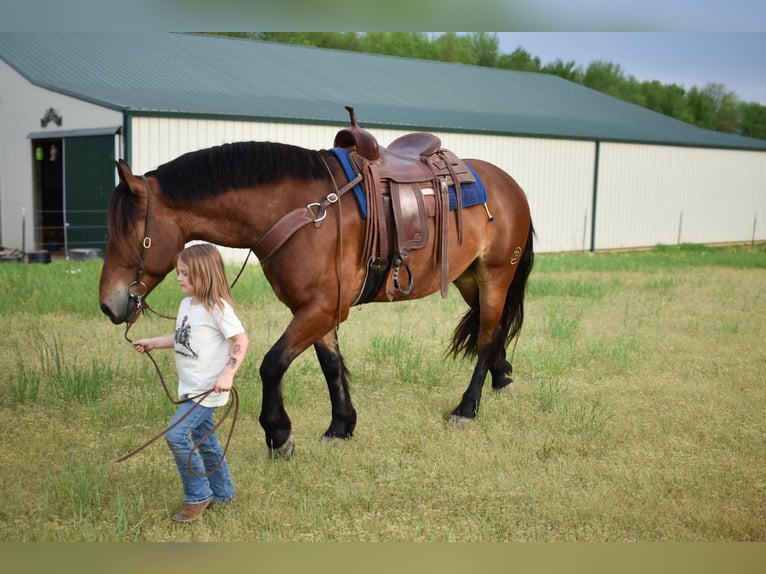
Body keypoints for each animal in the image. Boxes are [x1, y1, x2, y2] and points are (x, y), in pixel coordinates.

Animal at [100, 135, 536, 460]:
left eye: (129, 231)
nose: (108, 303)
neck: (306, 213)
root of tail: (510, 185)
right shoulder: (318, 309)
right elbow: (331, 366)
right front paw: (341, 426)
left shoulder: (322, 309)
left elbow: (272, 364)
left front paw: (279, 434)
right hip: (468, 278)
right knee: (495, 328)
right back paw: (502, 377)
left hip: (496, 274)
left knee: (485, 336)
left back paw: (467, 408)